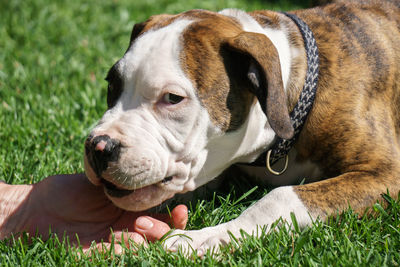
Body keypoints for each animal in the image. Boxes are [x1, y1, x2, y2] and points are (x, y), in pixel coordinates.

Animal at [83, 0, 400, 255]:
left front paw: (206, 237)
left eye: (172, 98)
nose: (98, 147)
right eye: (112, 84)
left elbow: (280, 196)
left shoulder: (385, 174)